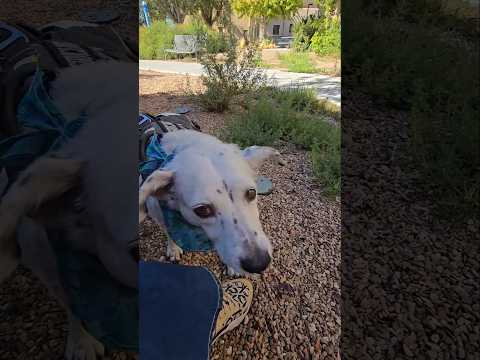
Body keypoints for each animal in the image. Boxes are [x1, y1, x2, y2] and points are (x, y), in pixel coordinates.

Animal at [138, 131, 284, 274]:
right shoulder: (158, 214)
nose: (259, 264)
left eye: (251, 193)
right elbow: (169, 232)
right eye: (202, 210)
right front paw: (173, 249)